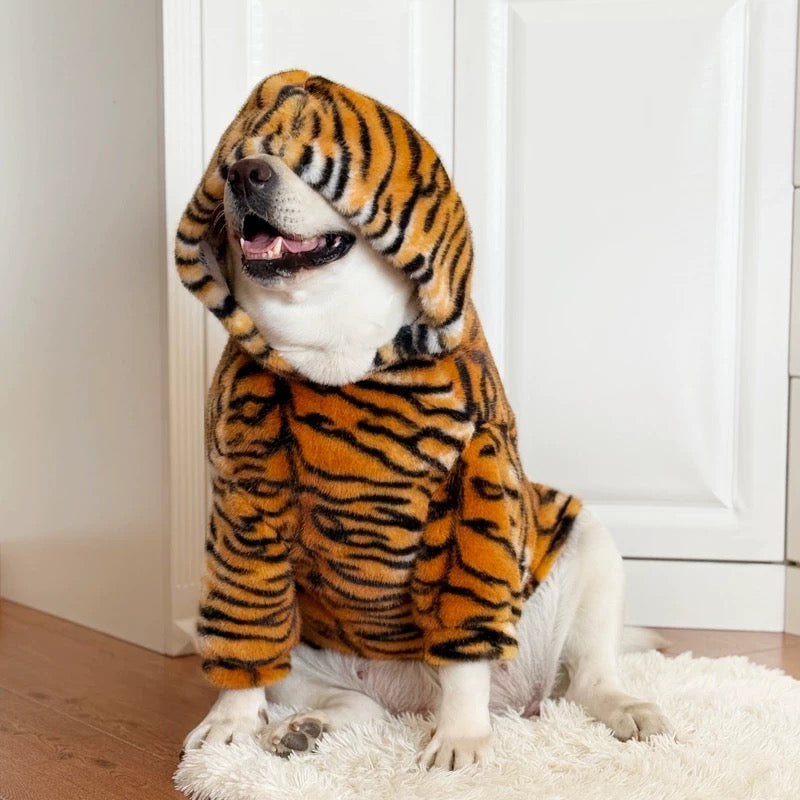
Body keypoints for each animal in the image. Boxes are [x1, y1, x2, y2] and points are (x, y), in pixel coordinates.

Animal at [179, 70, 671, 769]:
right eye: (241, 156)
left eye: (307, 162)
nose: (246, 173)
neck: (334, 350)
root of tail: (409, 694)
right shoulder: (243, 500)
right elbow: (244, 637)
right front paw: (231, 722)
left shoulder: (476, 489)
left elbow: (465, 651)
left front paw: (460, 738)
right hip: (310, 652)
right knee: (351, 703)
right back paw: (305, 729)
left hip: (589, 548)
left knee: (587, 680)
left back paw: (625, 709)